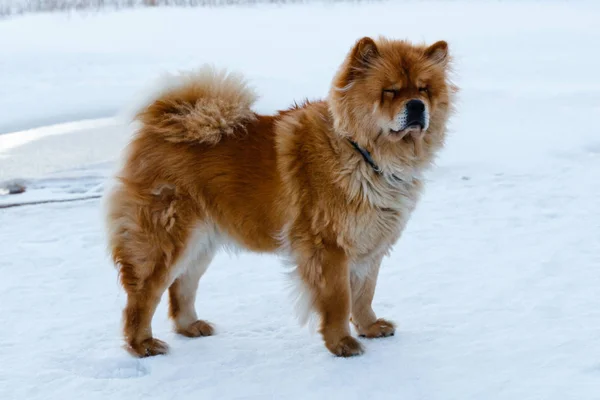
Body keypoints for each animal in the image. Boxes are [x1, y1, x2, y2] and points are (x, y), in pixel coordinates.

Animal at [106, 36, 454, 358]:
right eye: (390, 91)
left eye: (424, 89)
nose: (416, 106)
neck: (363, 154)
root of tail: (159, 127)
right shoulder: (328, 245)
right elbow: (339, 300)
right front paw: (342, 343)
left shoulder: (370, 241)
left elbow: (364, 293)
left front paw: (370, 327)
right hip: (166, 240)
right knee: (143, 295)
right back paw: (143, 344)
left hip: (202, 241)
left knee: (182, 287)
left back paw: (191, 326)